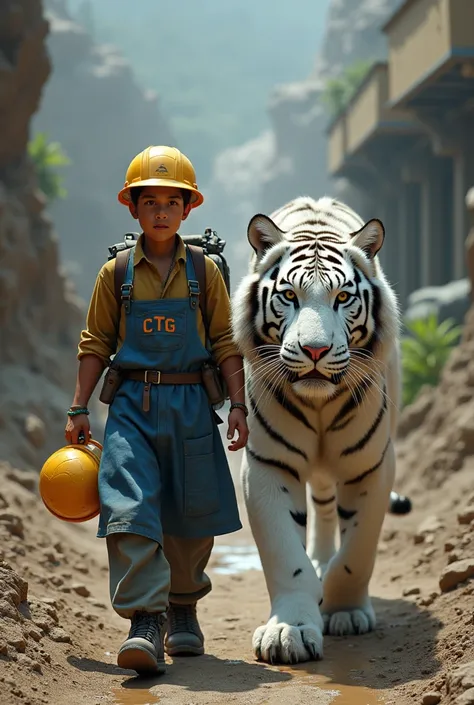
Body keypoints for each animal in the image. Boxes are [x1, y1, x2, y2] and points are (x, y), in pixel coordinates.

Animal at [231, 195, 402, 664]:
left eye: (343, 297)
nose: (314, 350)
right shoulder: (269, 466)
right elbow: (286, 558)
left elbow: (357, 553)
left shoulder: (371, 466)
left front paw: (344, 610)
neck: (320, 403)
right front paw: (288, 631)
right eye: (289, 295)